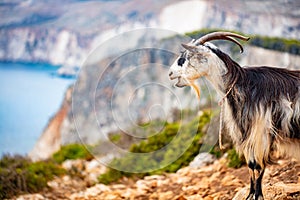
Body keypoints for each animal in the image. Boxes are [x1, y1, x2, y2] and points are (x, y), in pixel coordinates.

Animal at [168, 32, 300, 199]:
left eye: (186, 57)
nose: (170, 73)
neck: (242, 84)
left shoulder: (260, 132)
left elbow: (258, 166)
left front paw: (257, 196)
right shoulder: (247, 134)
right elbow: (251, 165)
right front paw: (250, 195)